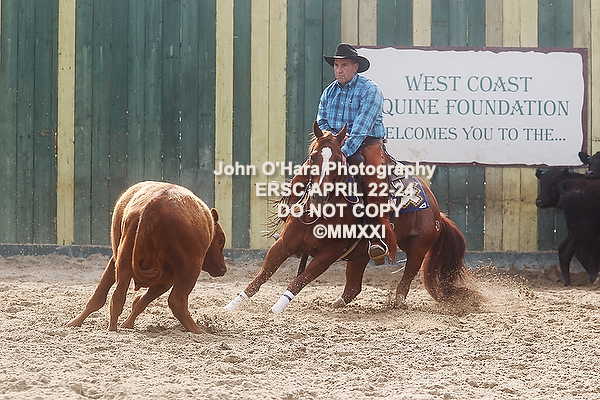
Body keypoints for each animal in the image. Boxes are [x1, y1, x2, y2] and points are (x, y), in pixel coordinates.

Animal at [67, 181, 227, 333]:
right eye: (220, 241)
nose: (223, 269)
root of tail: (153, 205)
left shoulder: (117, 261)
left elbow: (126, 299)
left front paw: (127, 325)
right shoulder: (168, 279)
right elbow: (143, 301)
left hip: (123, 260)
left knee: (116, 297)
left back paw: (105, 327)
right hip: (190, 271)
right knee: (177, 301)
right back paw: (198, 331)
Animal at [225, 122, 476, 313]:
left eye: (338, 159)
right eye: (313, 157)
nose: (318, 195)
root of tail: (436, 209)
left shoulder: (327, 254)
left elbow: (300, 280)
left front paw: (277, 307)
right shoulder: (284, 245)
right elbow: (261, 275)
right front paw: (233, 304)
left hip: (418, 247)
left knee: (404, 283)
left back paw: (395, 303)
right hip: (359, 256)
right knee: (353, 288)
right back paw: (336, 304)